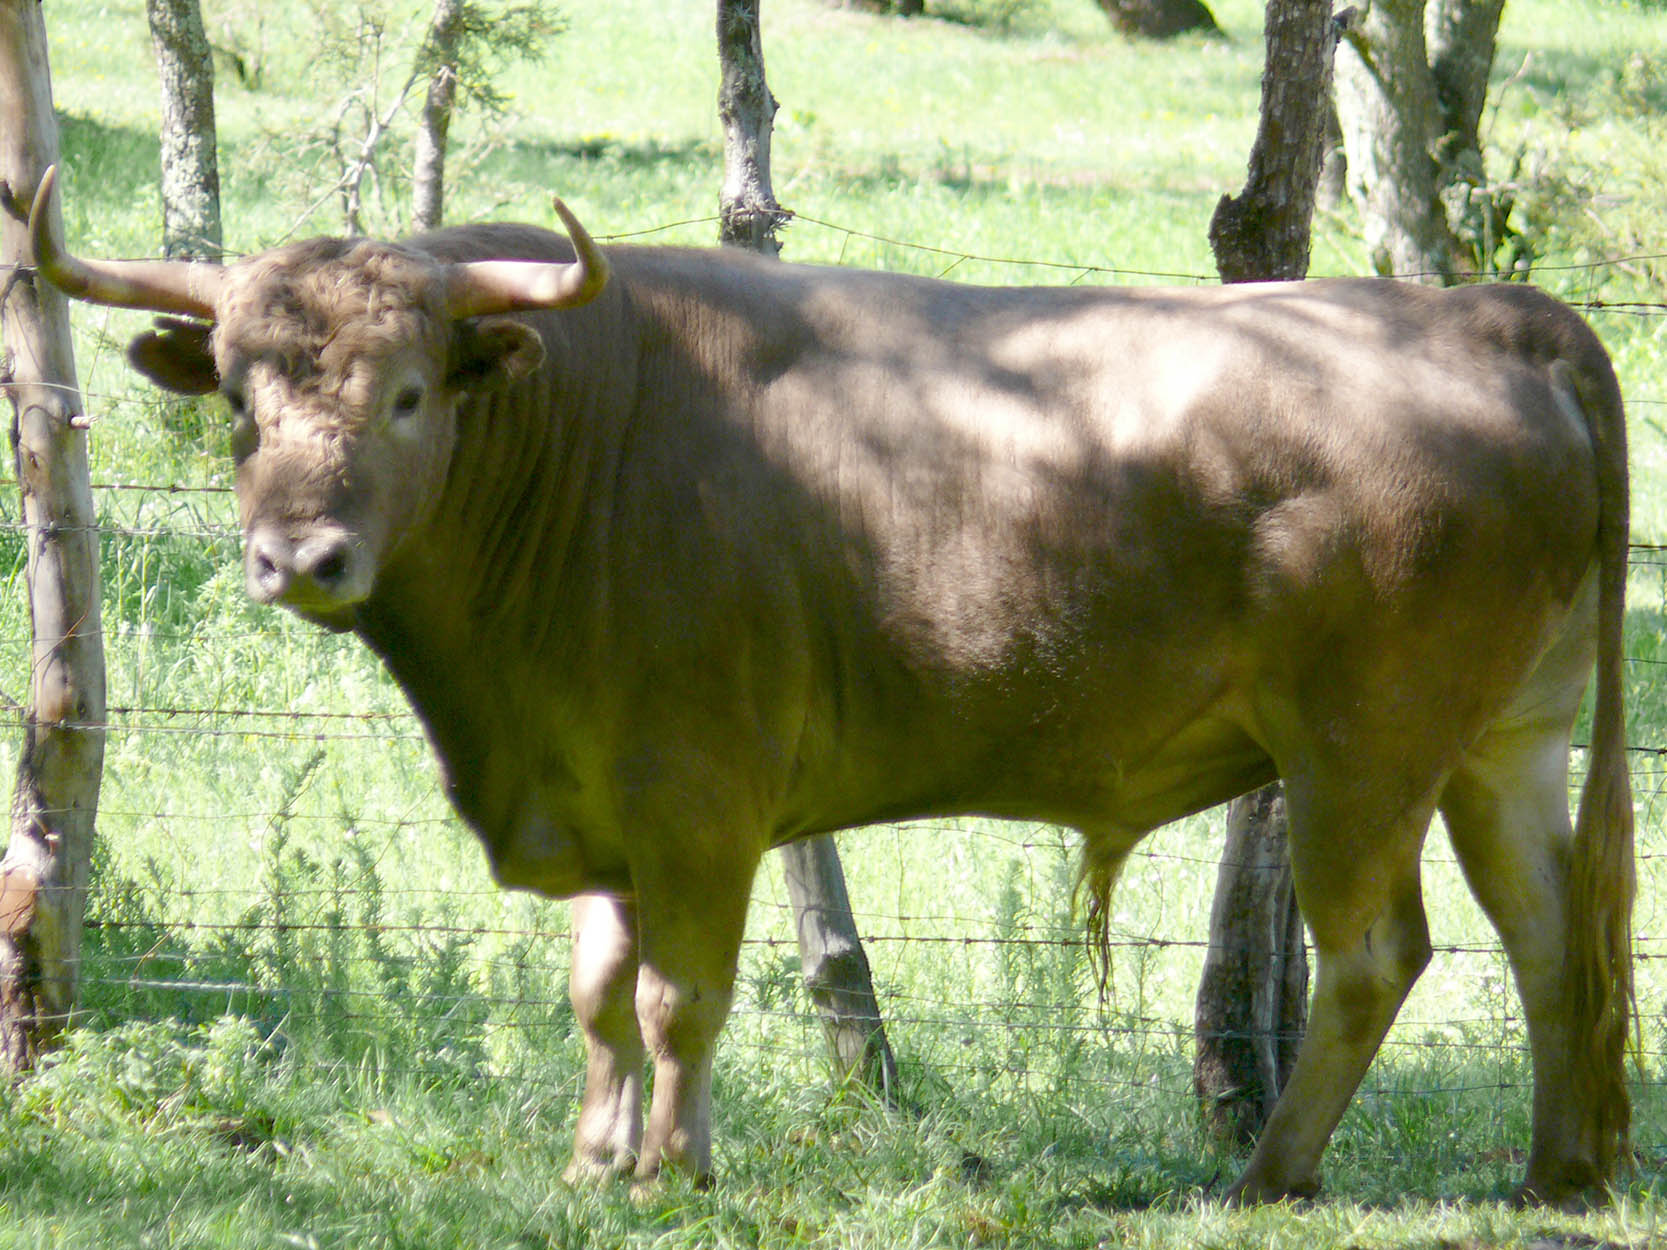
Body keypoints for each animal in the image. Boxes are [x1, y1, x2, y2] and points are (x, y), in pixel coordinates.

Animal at [29, 171, 1640, 1206]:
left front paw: (672, 1169)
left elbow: (677, 996)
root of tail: (1481, 315)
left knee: (1376, 954)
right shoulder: (598, 787)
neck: (590, 425)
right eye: (242, 401)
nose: (298, 554)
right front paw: (593, 1159)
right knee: (1551, 936)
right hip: (1502, 742)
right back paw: (1555, 1171)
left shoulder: (698, 797)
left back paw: (1264, 1172)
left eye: (407, 393)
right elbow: (596, 994)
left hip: (1360, 754)